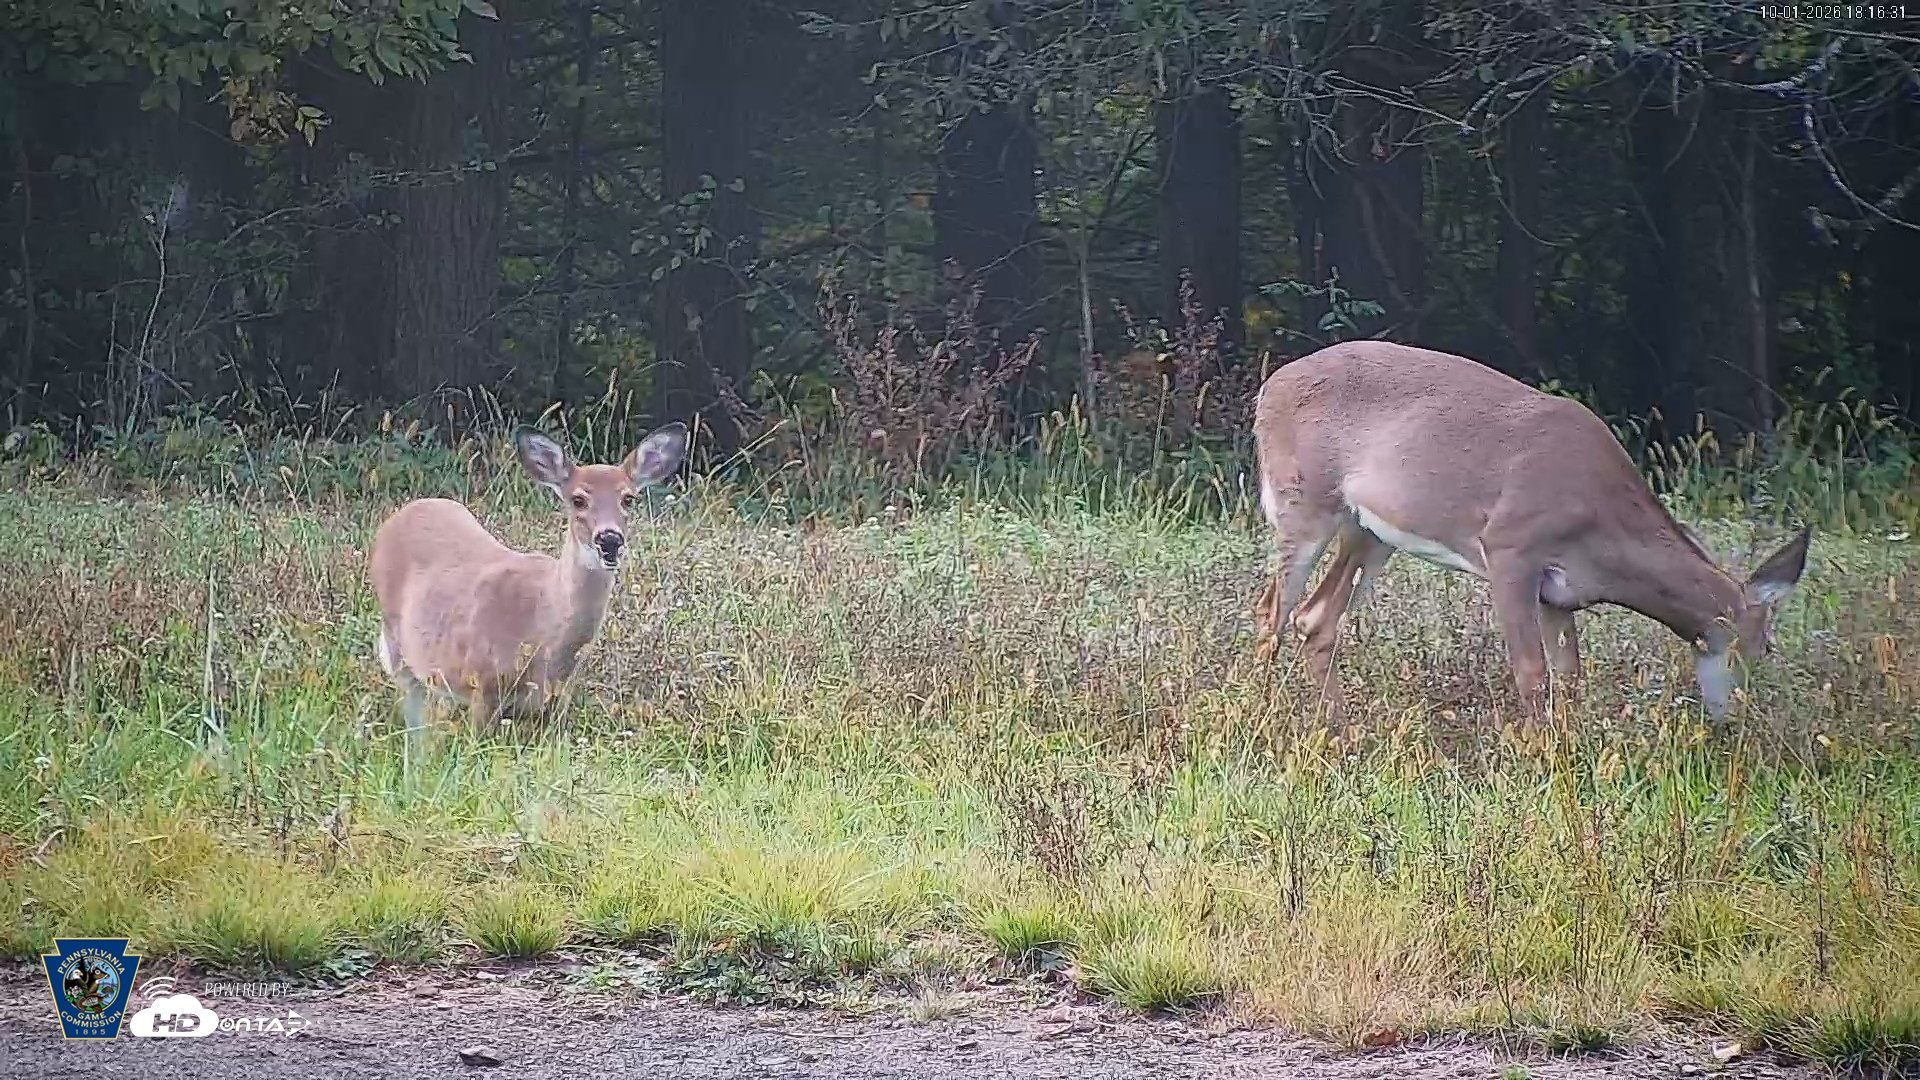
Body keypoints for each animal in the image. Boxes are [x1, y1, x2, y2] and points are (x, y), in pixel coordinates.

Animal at [369, 423, 689, 741]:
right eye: (578, 499)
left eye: (628, 499)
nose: (609, 540)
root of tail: (400, 515)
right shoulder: (482, 685)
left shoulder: (559, 703)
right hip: (399, 646)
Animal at [1249, 341, 1811, 722]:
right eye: (1756, 648)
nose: (1739, 719)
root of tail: (1268, 388)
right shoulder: (1510, 548)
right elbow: (1530, 671)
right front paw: (1540, 761)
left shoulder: (1559, 594)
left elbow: (1569, 676)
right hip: (1304, 502)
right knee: (1272, 610)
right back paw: (1259, 718)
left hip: (1370, 530)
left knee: (1315, 617)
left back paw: (1339, 730)